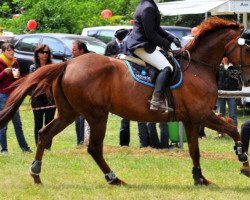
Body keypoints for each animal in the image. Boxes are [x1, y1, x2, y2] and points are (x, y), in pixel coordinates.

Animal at [0, 17, 250, 186]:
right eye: (247, 47)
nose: (246, 78)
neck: (198, 67)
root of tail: (68, 63)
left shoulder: (193, 119)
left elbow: (201, 146)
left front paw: (202, 177)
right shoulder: (200, 115)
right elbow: (226, 130)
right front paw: (242, 159)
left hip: (68, 113)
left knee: (44, 134)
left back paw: (36, 173)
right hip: (96, 115)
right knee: (94, 148)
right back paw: (113, 178)